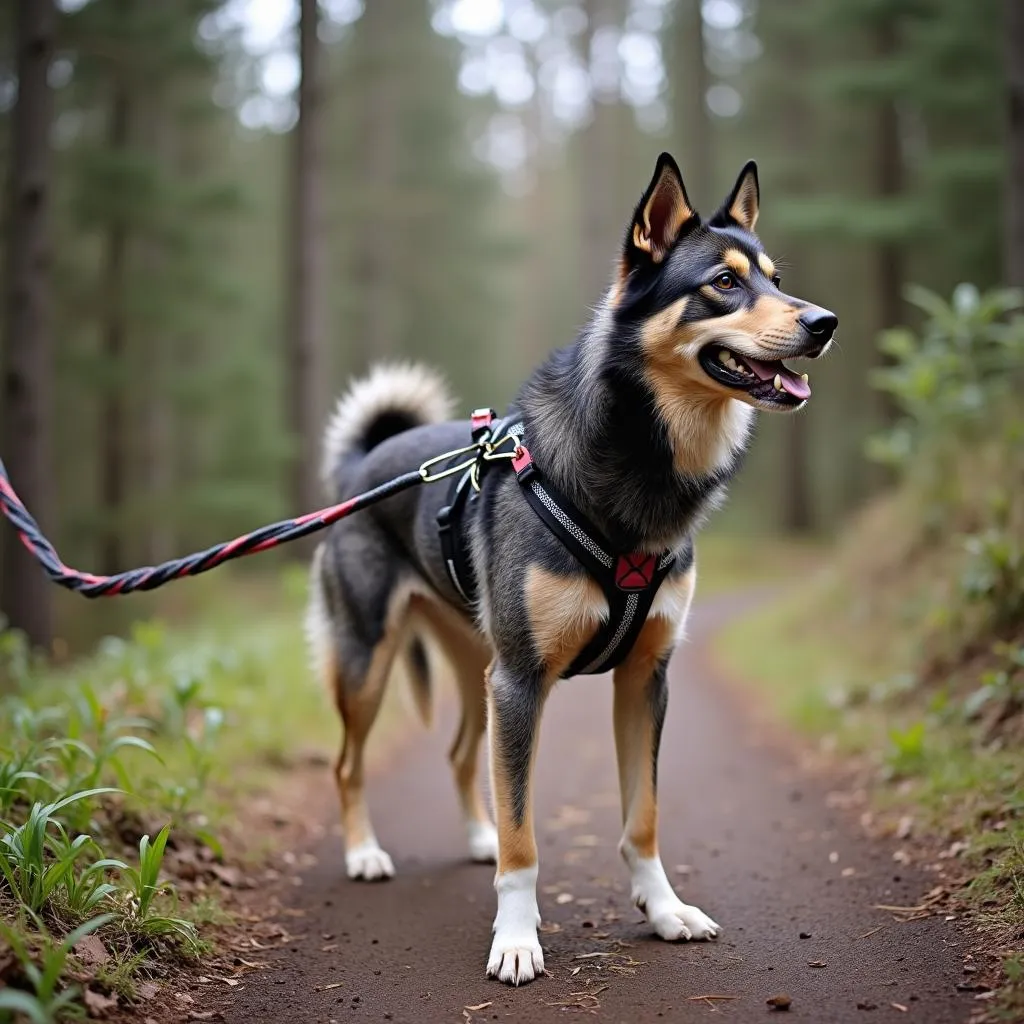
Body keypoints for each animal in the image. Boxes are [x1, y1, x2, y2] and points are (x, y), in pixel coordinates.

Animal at [307, 153, 835, 983]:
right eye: (723, 282)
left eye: (778, 279)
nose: (824, 324)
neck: (639, 460)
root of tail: (364, 463)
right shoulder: (524, 681)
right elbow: (526, 838)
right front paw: (517, 938)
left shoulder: (643, 678)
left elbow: (642, 817)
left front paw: (664, 910)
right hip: (370, 662)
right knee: (346, 765)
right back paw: (365, 852)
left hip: (475, 661)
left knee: (462, 755)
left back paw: (475, 837)